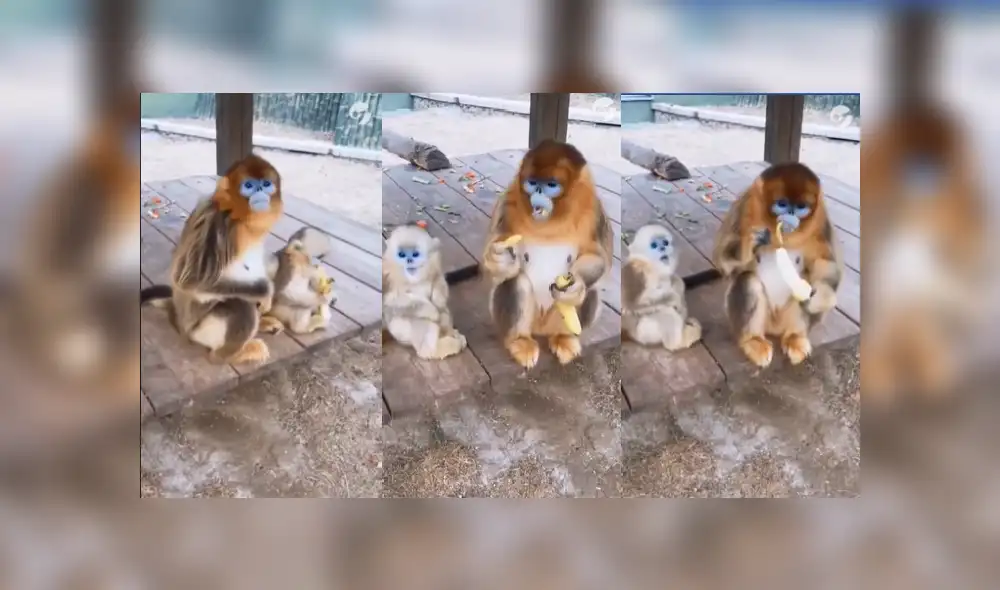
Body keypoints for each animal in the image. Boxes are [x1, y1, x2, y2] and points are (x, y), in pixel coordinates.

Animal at [140, 154, 283, 365]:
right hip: (201, 331)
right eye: (248, 186)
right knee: (241, 305)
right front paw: (265, 291)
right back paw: (230, 355)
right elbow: (190, 280)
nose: (259, 192)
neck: (240, 218)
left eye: (266, 184)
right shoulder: (216, 224)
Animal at [382, 224, 467, 360]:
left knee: (444, 313)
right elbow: (395, 302)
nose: (409, 260)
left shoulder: (434, 268)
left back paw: (449, 332)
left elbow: (438, 281)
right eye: (402, 255)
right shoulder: (389, 279)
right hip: (400, 331)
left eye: (415, 254)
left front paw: (438, 300)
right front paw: (432, 311)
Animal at [482, 139, 613, 369]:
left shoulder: (594, 211)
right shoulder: (508, 203)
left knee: (590, 290)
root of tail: (542, 327)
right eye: (532, 182)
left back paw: (564, 336)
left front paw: (575, 287)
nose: (539, 193)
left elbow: (597, 257)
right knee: (518, 282)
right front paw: (501, 259)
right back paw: (520, 341)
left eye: (551, 185)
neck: (552, 220)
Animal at [712, 162, 844, 368]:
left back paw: (795, 337)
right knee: (748, 279)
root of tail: (774, 327)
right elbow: (722, 259)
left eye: (800, 207)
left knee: (804, 285)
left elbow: (825, 262)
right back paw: (753, 340)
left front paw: (821, 297)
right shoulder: (745, 205)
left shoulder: (821, 220)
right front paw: (749, 245)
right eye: (782, 204)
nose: (790, 214)